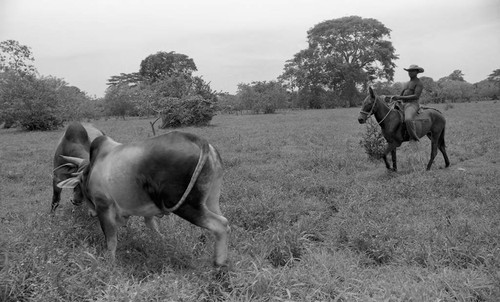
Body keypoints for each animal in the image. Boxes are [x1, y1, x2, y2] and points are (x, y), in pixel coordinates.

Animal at [55, 130, 229, 266]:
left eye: (78, 184)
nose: (74, 200)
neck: (92, 169)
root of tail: (198, 140)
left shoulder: (104, 206)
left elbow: (111, 241)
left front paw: (109, 264)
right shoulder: (148, 212)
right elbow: (154, 229)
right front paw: (163, 242)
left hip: (185, 205)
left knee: (221, 224)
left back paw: (219, 264)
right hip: (211, 200)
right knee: (223, 223)